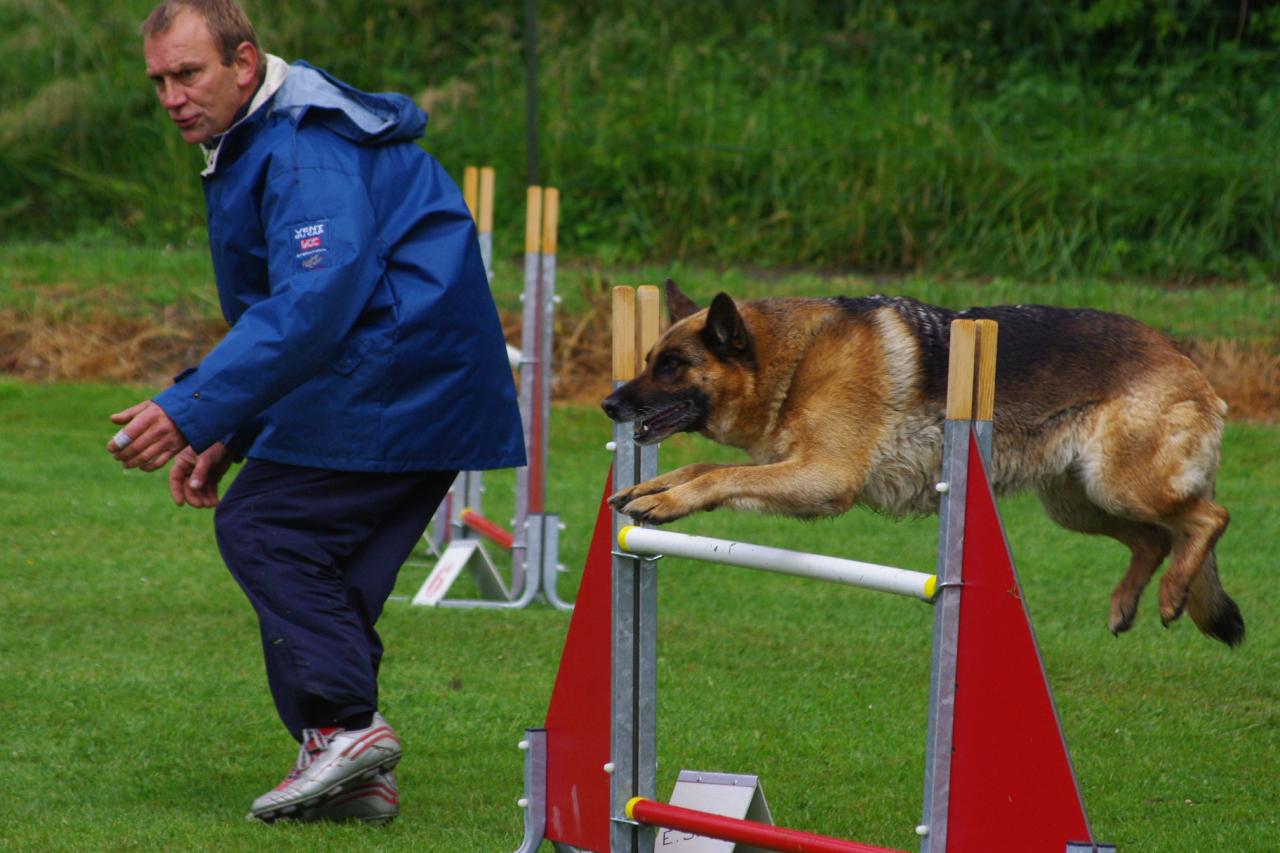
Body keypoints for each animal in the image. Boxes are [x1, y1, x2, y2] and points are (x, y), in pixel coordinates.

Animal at [604, 279, 1244, 645]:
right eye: (648, 359)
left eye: (672, 367)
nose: (609, 404)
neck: (796, 361)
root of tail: (1184, 359)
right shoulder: (792, 465)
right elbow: (702, 471)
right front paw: (654, 490)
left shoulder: (822, 478)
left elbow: (721, 474)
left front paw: (667, 499)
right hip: (1076, 504)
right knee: (1154, 539)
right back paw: (1127, 603)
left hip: (1122, 485)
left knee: (1210, 518)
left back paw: (1172, 595)